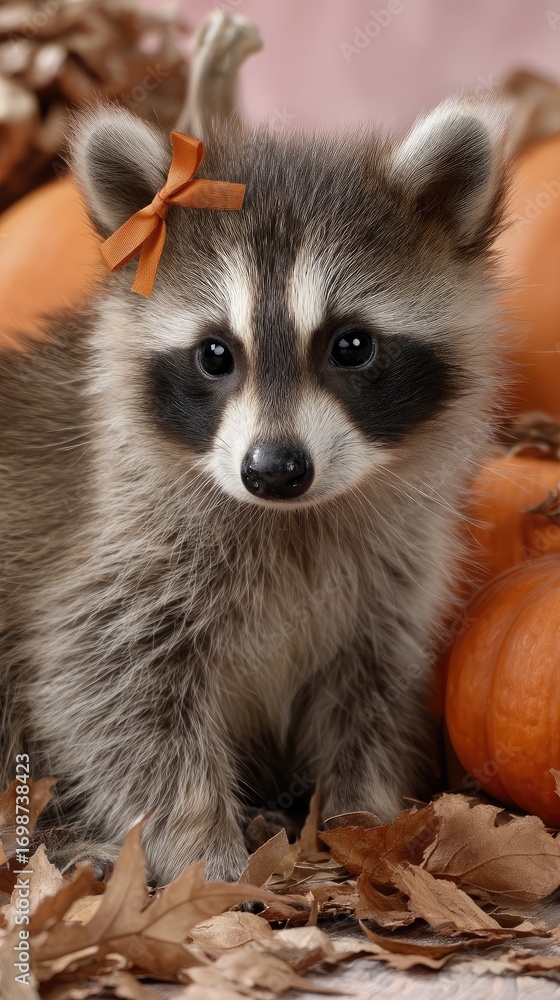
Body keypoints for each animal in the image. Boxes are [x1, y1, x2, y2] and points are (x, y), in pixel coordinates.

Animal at [0, 99, 507, 882]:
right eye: (215, 354)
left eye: (352, 345)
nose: (274, 470)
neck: (294, 515)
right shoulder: (123, 552)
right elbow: (110, 689)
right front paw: (202, 844)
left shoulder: (392, 578)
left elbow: (371, 692)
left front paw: (365, 815)